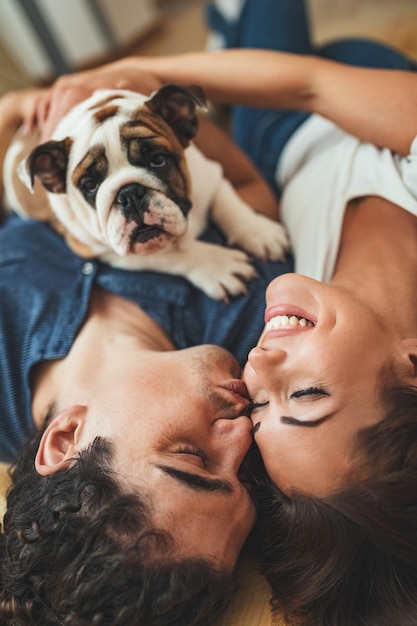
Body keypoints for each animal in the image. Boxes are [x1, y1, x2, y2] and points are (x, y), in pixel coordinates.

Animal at [3, 84, 288, 298]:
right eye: (89, 185)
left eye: (158, 159)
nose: (129, 194)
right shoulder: (106, 250)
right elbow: (173, 256)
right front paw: (217, 265)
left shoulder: (210, 173)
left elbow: (227, 202)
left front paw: (257, 232)